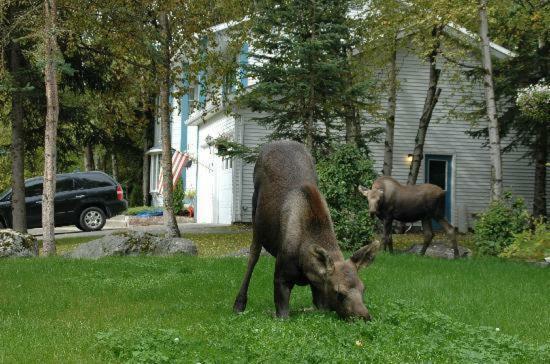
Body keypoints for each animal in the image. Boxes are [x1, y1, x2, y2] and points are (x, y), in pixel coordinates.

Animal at [235, 141, 382, 320]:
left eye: (363, 288)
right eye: (339, 293)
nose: (364, 316)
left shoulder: (318, 287)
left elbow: (319, 307)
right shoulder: (281, 277)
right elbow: (283, 313)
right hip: (256, 219)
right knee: (252, 257)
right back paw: (239, 303)